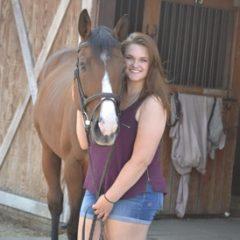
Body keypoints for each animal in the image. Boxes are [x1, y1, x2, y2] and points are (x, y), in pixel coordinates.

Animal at [33, 9, 128, 240]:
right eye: (83, 65)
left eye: (124, 69)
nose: (106, 128)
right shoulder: (73, 167)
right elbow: (75, 225)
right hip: (49, 152)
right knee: (56, 203)